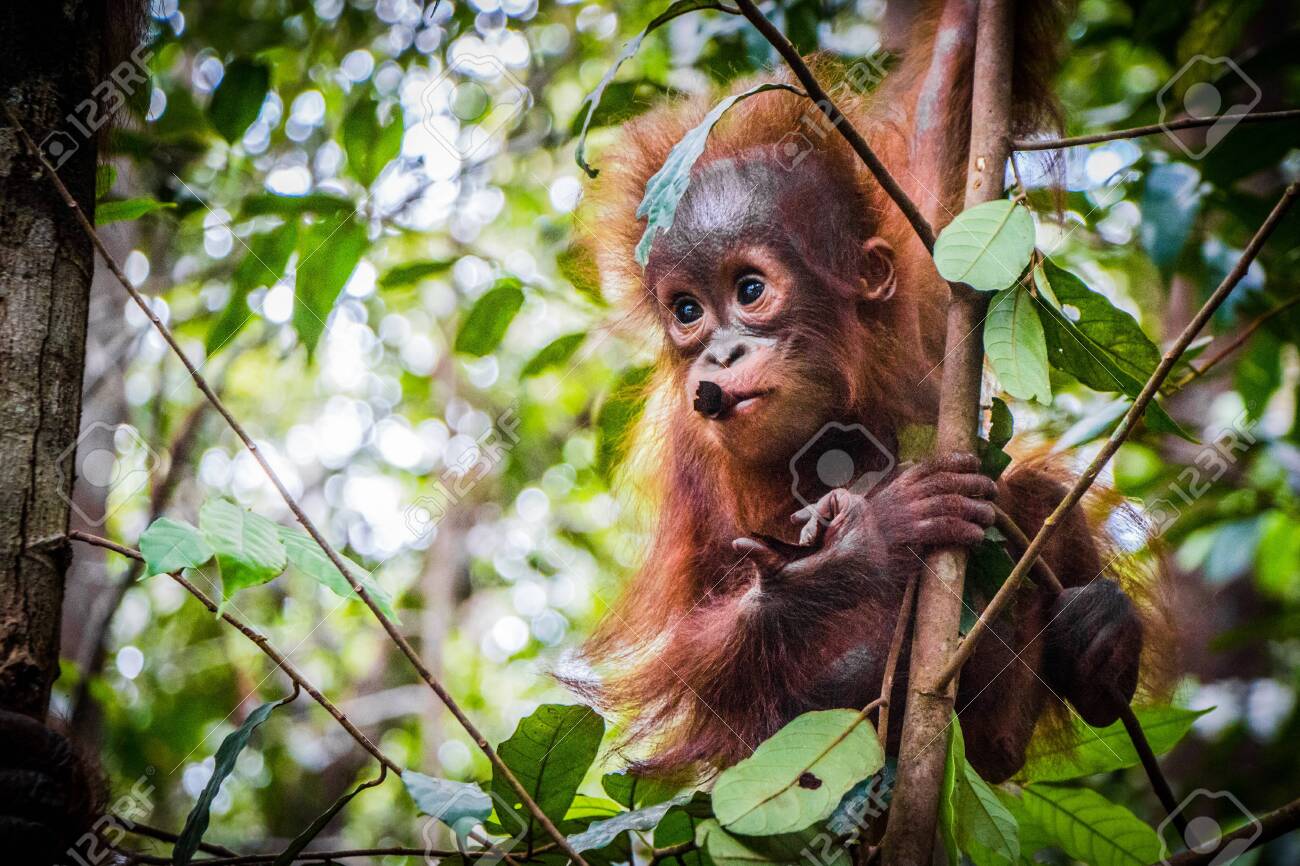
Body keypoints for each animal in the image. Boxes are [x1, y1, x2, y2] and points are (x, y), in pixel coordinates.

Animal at [571, 0, 1166, 784]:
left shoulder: (925, 295)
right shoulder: (688, 448)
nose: (718, 356)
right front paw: (857, 551)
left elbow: (950, 84)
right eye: (688, 310)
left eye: (749, 290)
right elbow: (683, 657)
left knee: (1028, 493)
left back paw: (1093, 661)